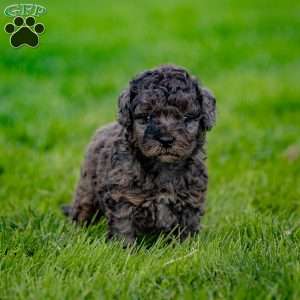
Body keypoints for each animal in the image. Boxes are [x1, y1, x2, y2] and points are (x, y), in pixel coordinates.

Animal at [62, 64, 216, 245]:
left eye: (186, 117)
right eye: (146, 117)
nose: (166, 140)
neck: (163, 167)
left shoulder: (191, 201)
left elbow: (188, 228)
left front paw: (188, 247)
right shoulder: (124, 199)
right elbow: (124, 228)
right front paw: (125, 249)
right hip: (87, 190)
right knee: (83, 209)